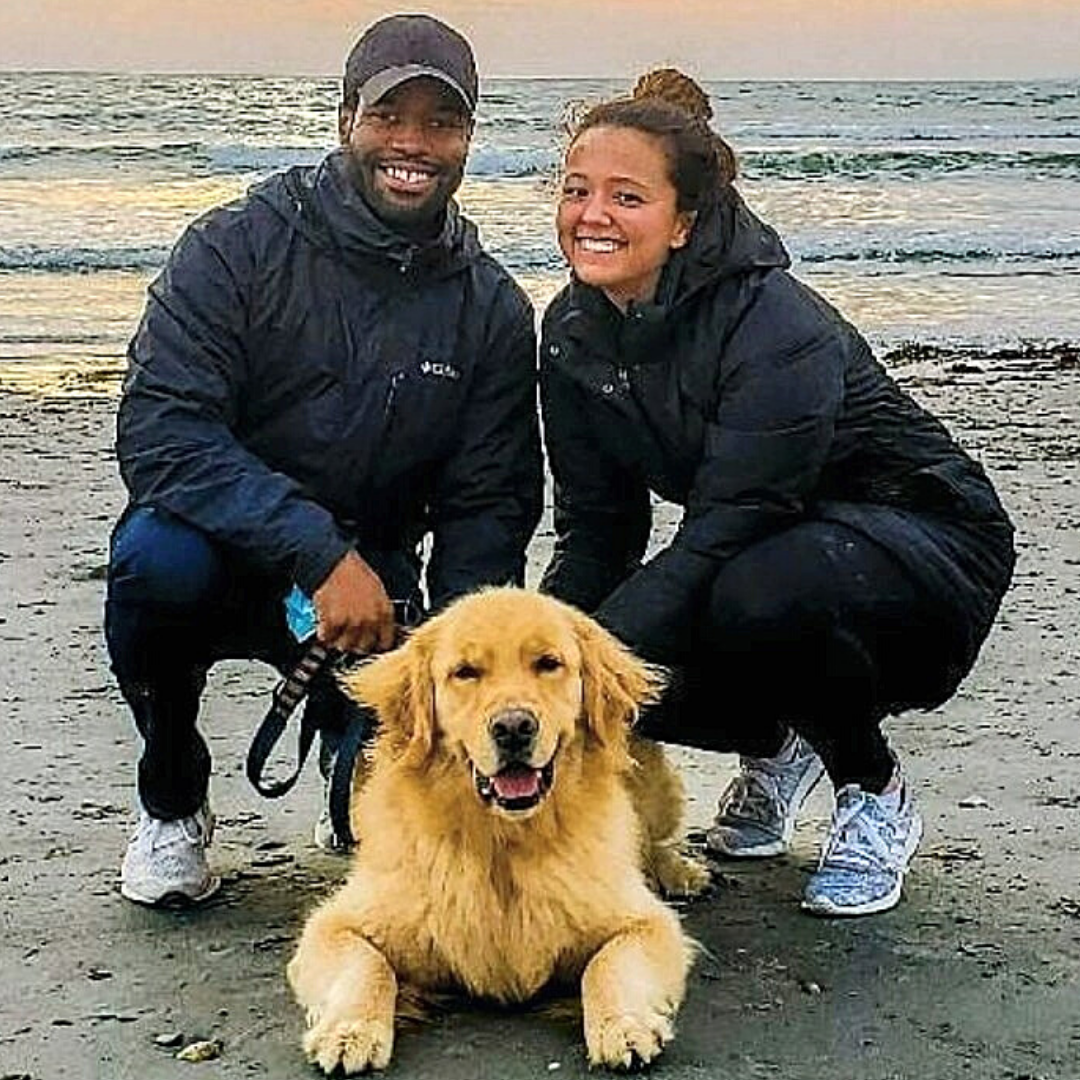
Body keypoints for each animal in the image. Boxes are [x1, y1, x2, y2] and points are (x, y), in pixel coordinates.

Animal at [288, 587, 709, 1073]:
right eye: (465, 672)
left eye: (548, 663)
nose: (513, 727)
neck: (502, 843)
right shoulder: (337, 924)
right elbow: (366, 966)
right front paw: (348, 1032)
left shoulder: (645, 923)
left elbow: (607, 965)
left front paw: (625, 1026)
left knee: (656, 840)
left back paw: (681, 872)